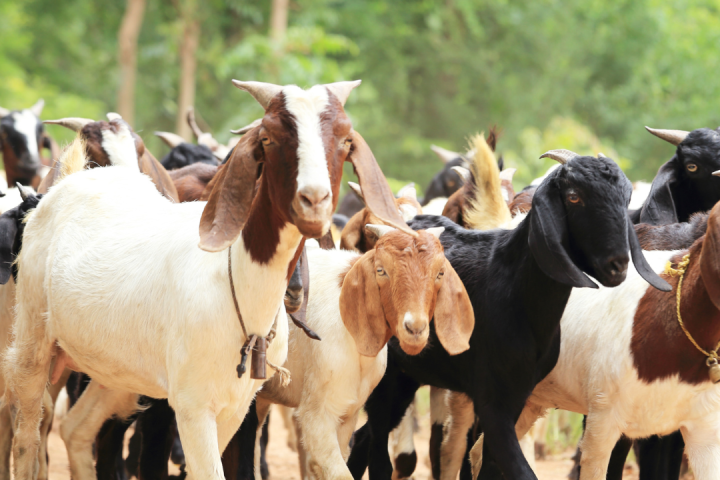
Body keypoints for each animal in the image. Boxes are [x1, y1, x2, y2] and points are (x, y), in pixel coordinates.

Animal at [2, 80, 409, 480]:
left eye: (344, 139)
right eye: (269, 137)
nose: (314, 200)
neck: (239, 290)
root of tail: (65, 185)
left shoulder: (236, 406)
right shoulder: (191, 406)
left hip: (113, 373)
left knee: (77, 430)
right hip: (32, 344)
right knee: (26, 439)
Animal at [346, 149, 670, 480]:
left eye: (626, 197)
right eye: (574, 196)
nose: (618, 264)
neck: (516, 290)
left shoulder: (518, 394)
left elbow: (489, 464)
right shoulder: (492, 400)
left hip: (408, 375)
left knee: (363, 439)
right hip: (386, 376)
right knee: (378, 452)